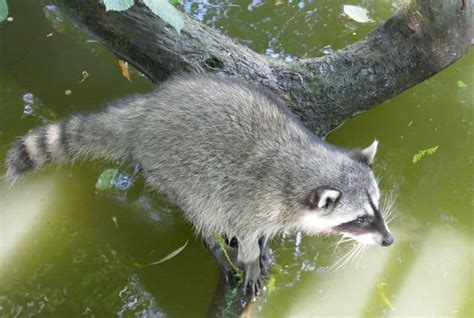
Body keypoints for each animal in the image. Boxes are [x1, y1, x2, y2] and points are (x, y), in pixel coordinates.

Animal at [5, 74, 394, 298]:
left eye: (376, 206)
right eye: (360, 219)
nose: (389, 240)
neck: (301, 164)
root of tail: (147, 112)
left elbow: (262, 233)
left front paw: (265, 245)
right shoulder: (252, 201)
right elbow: (245, 232)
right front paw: (251, 259)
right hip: (173, 172)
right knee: (203, 211)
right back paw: (216, 246)